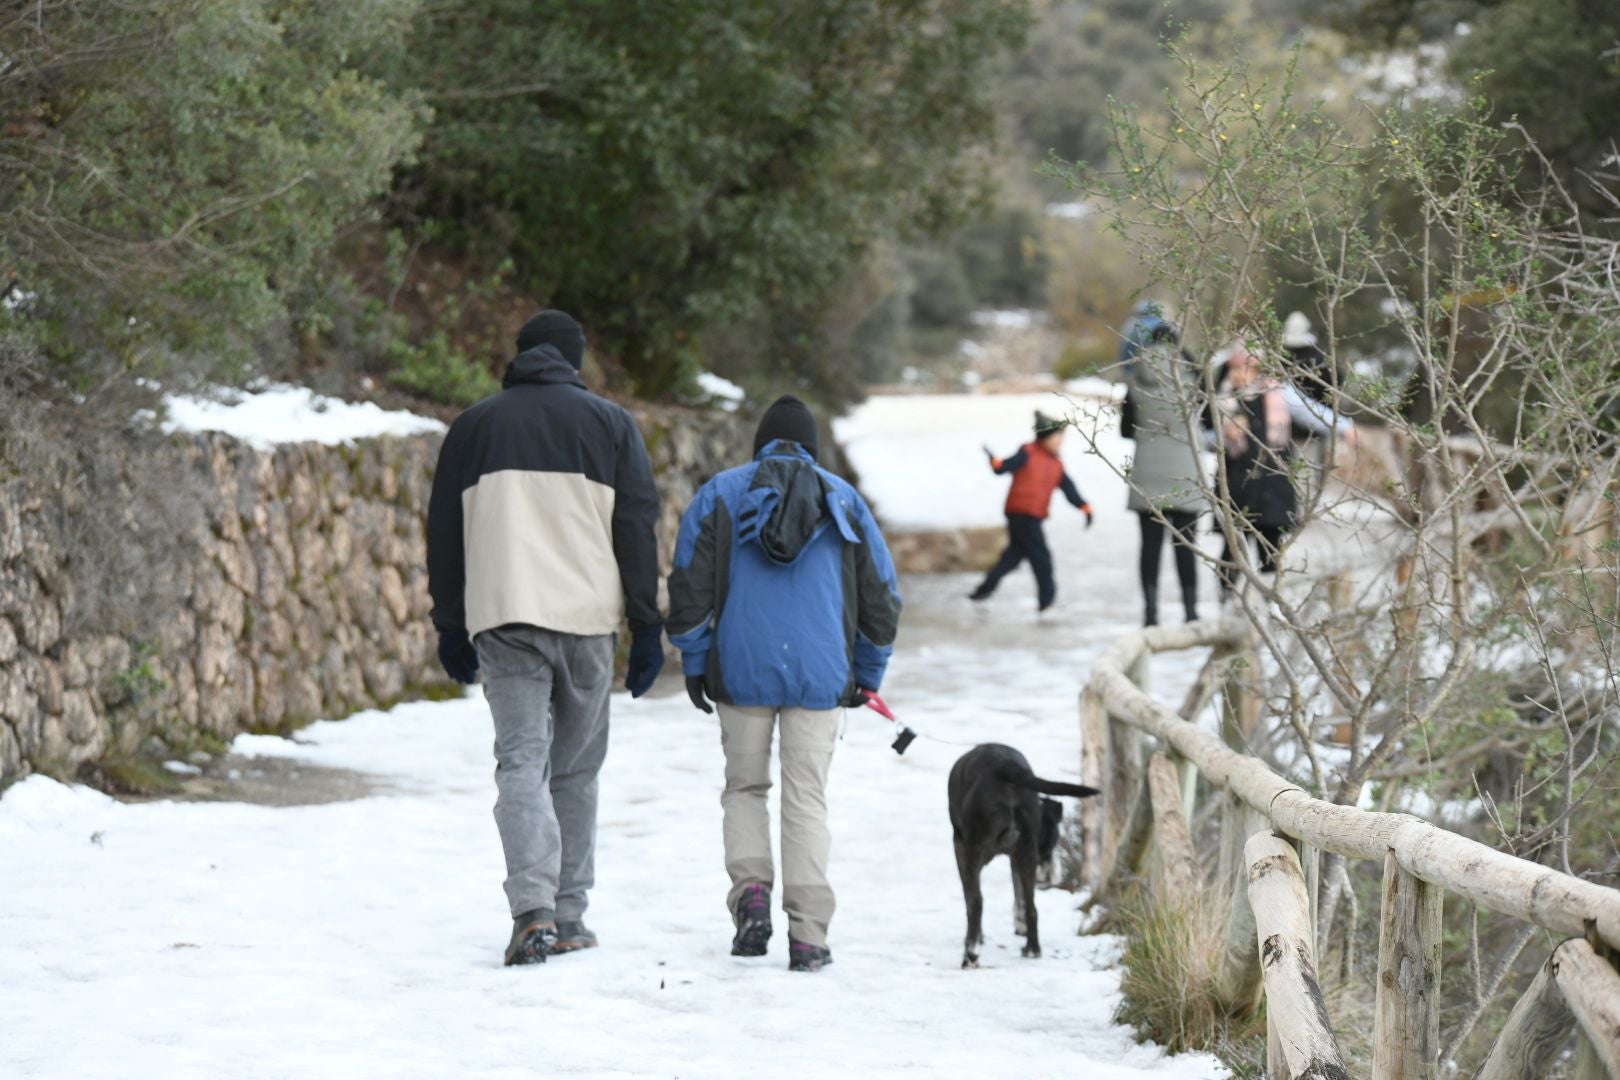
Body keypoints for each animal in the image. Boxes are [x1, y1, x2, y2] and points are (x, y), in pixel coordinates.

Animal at [946, 744, 1101, 971]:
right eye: (1050, 842)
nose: (1048, 875)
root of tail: (1006, 767)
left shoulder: (962, 848)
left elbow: (971, 899)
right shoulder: (1019, 856)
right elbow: (1019, 894)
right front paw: (1020, 925)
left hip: (971, 850)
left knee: (977, 903)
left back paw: (971, 954)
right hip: (1026, 853)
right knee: (1032, 906)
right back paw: (1032, 948)